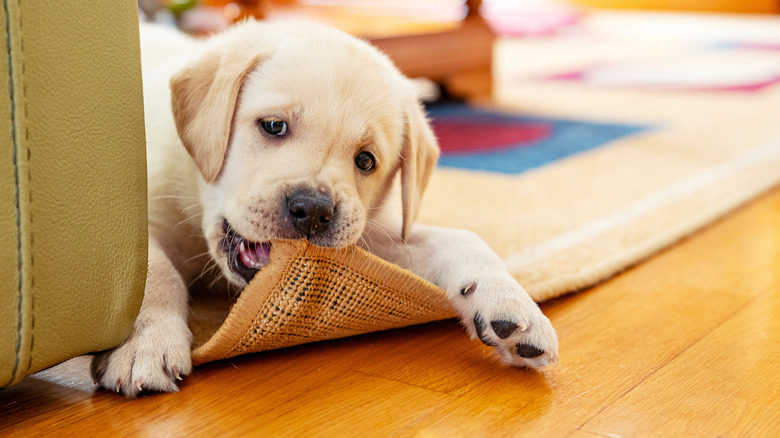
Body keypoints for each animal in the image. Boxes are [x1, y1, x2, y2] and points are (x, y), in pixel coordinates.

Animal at [91, 20, 556, 396]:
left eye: (366, 160)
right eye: (273, 125)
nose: (312, 210)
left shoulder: (365, 238)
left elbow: (462, 238)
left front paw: (511, 304)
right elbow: (152, 274)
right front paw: (145, 344)